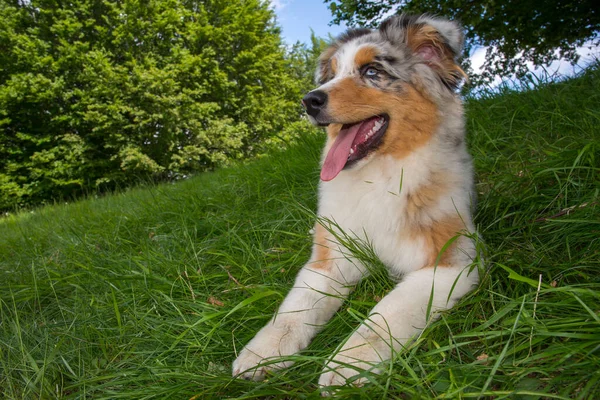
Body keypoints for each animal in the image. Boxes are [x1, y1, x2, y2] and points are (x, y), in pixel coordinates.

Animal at [232, 14, 480, 390]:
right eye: (332, 74)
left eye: (372, 71)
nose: (309, 101)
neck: (377, 177)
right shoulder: (332, 259)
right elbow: (294, 309)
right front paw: (263, 352)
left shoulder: (450, 260)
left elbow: (388, 312)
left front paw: (348, 362)